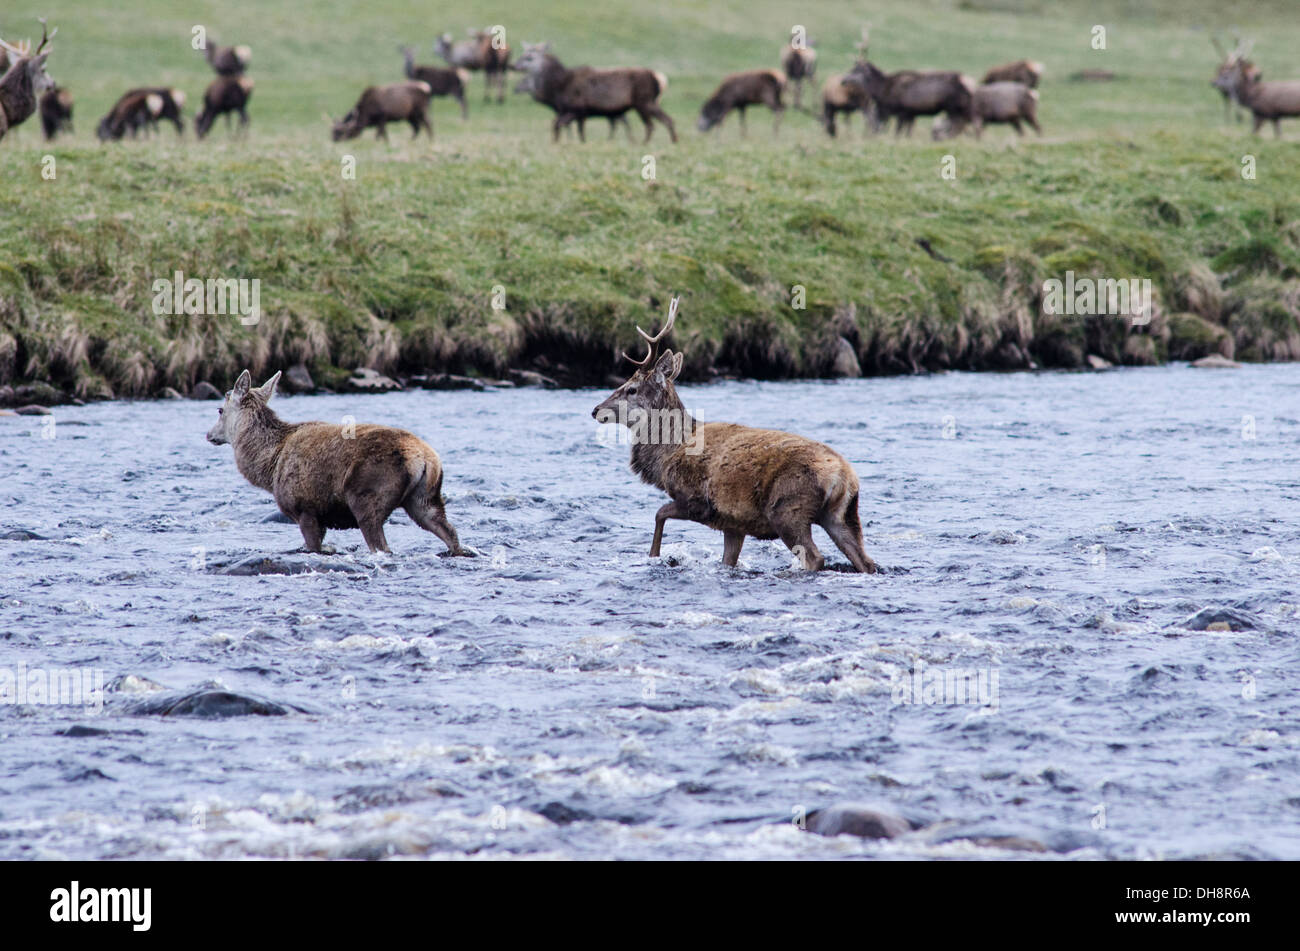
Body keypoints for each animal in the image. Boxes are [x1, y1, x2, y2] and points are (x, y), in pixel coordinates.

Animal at [200, 368, 470, 553]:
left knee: (382, 545)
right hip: (425, 499)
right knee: (450, 533)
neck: (269, 466)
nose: (209, 434)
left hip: (367, 497)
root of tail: (426, 459)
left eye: (220, 410)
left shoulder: (305, 510)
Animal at [592, 301, 878, 576]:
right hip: (842, 515)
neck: (667, 455)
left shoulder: (698, 501)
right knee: (866, 561)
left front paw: (653, 557)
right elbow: (727, 560)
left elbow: (658, 513)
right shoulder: (733, 523)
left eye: (631, 389)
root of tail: (843, 476)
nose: (595, 410)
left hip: (788, 508)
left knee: (815, 557)